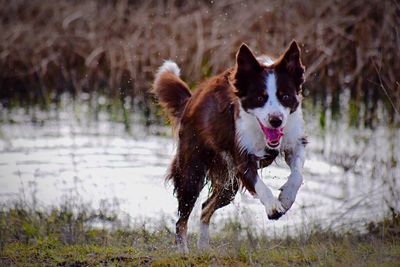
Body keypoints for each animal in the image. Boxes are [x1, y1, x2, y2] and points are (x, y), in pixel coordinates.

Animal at [153, 40, 306, 253]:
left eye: (285, 96)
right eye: (260, 98)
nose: (275, 120)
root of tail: (191, 101)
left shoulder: (294, 142)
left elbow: (297, 174)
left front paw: (286, 198)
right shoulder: (242, 157)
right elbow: (260, 185)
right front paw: (273, 207)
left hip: (229, 184)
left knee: (205, 208)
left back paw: (203, 247)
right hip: (192, 170)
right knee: (182, 219)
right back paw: (183, 251)